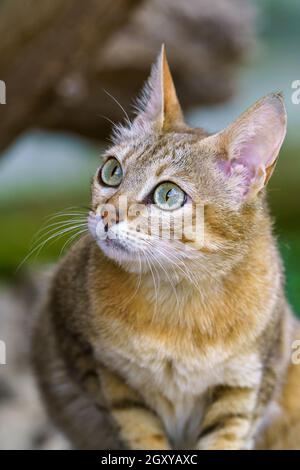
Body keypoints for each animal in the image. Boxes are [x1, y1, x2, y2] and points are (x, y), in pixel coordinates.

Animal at [31, 46, 300, 450]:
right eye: (112, 171)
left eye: (168, 195)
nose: (106, 215)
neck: (179, 294)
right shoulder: (99, 367)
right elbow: (142, 435)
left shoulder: (247, 387)